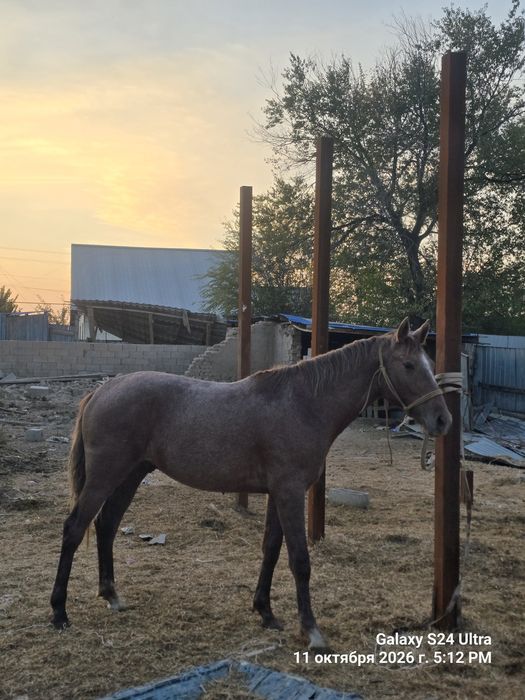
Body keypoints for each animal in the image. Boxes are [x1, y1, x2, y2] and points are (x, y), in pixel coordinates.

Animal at [50, 318, 452, 649]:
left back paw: (111, 595)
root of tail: (103, 390)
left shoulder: (278, 494)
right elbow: (300, 559)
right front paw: (312, 631)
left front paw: (266, 612)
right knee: (75, 528)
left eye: (429, 366)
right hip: (106, 476)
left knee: (106, 525)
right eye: (409, 365)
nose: (443, 420)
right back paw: (59, 612)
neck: (303, 404)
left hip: (130, 475)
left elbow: (271, 550)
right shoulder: (290, 492)